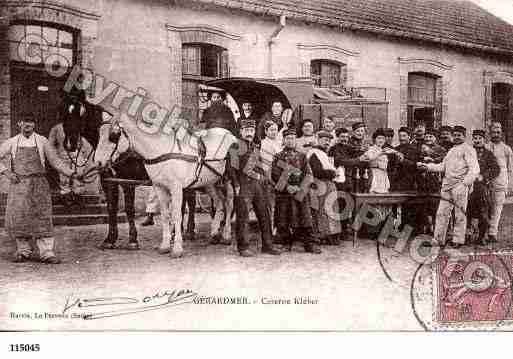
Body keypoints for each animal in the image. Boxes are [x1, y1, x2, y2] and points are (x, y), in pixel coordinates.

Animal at [60, 90, 195, 250]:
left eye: (81, 113)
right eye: (62, 112)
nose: (70, 144)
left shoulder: (127, 181)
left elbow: (129, 209)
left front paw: (132, 239)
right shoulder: (109, 181)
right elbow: (111, 207)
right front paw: (110, 239)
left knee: (190, 202)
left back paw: (188, 231)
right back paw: (178, 232)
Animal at [93, 114, 237, 258]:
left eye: (113, 136)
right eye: (99, 133)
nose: (98, 162)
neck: (161, 149)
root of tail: (229, 133)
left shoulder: (176, 187)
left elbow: (177, 215)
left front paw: (177, 248)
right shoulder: (159, 187)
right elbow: (165, 215)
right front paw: (165, 246)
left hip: (228, 180)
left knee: (229, 203)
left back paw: (226, 235)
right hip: (210, 182)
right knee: (219, 202)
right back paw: (214, 234)